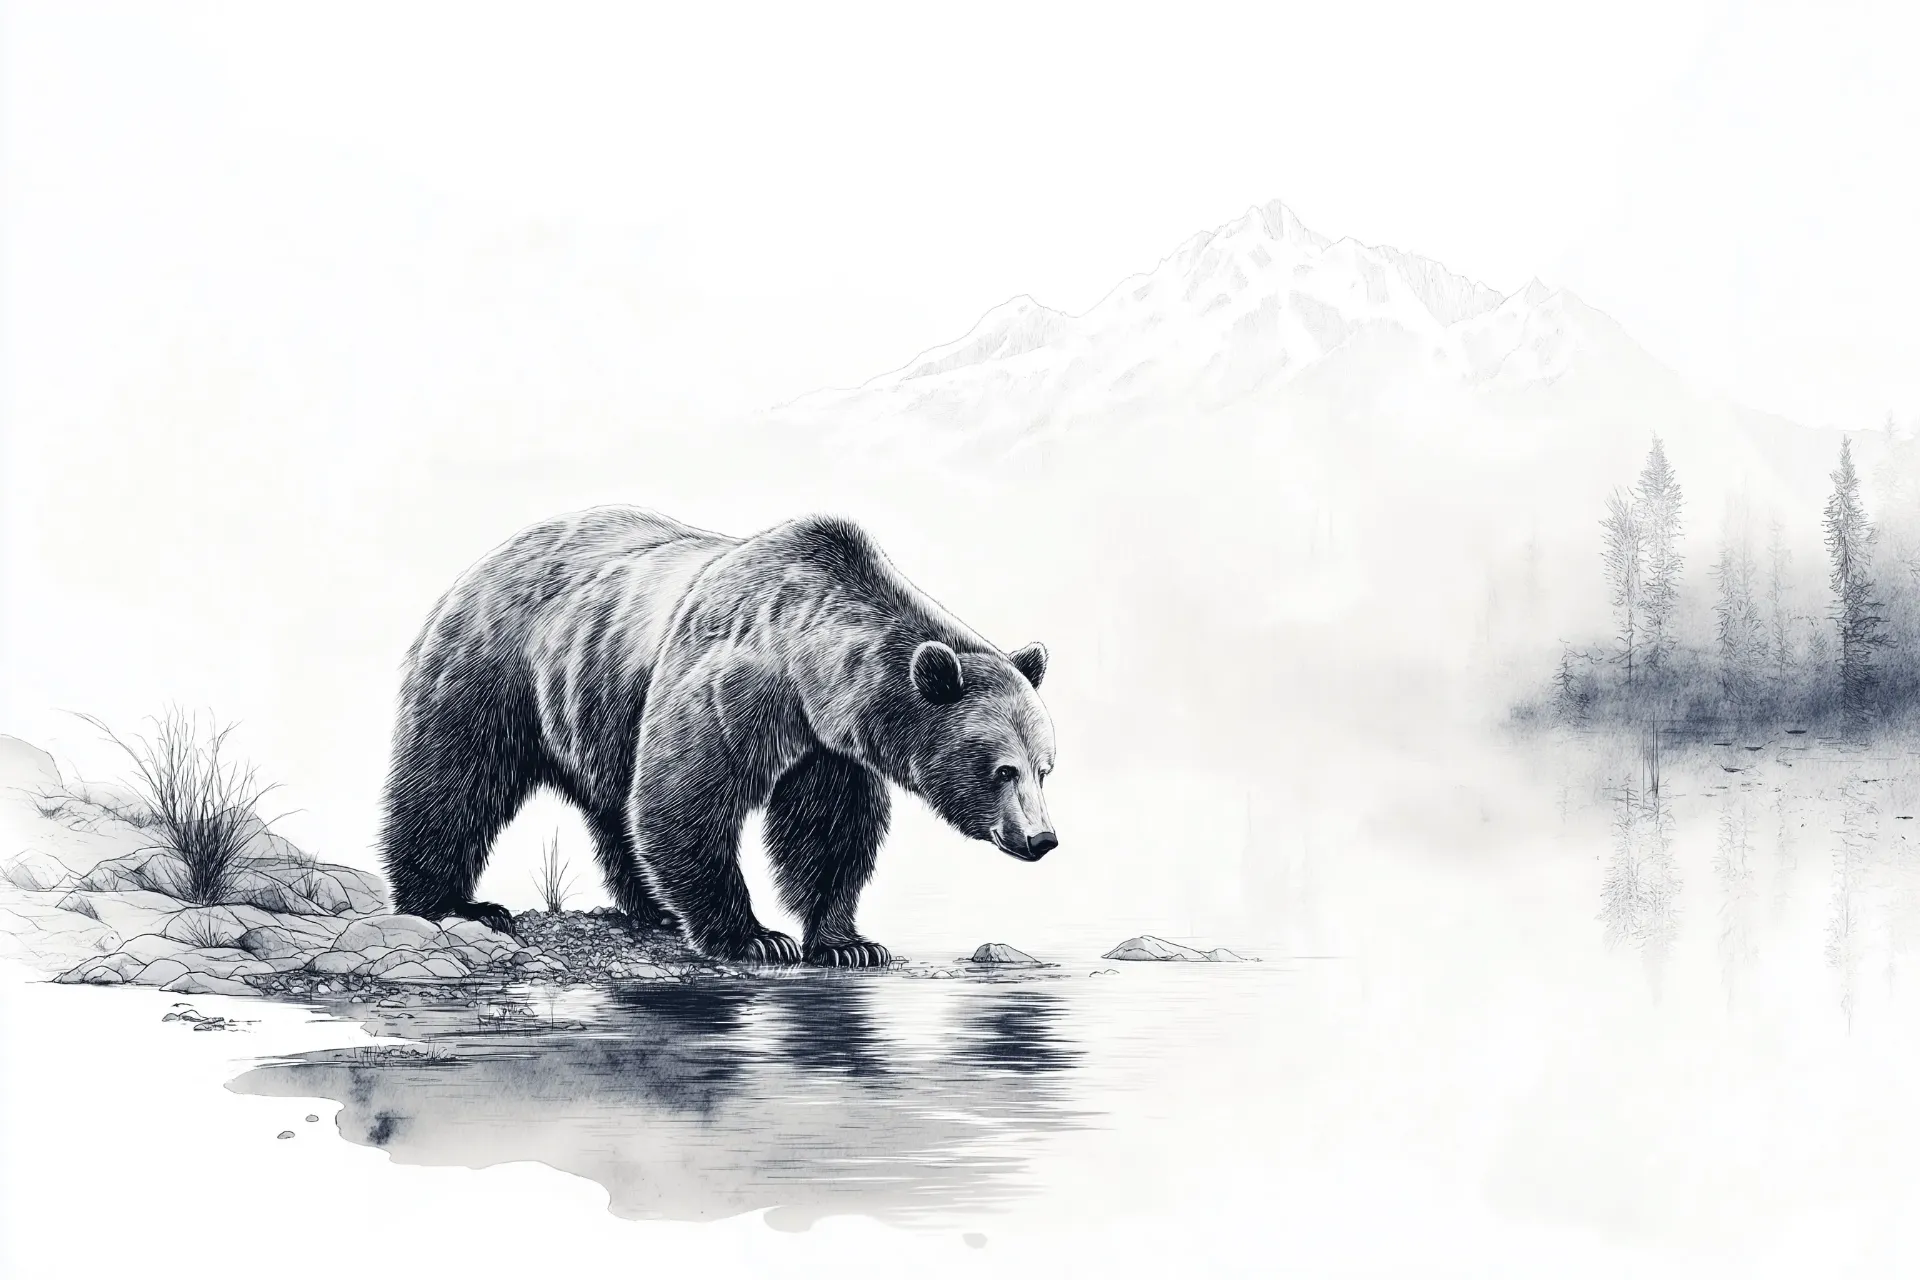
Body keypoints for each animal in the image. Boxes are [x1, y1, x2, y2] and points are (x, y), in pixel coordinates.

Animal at [376, 505, 1058, 967]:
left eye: (1044, 767)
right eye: (1003, 769)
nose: (1041, 838)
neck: (810, 665)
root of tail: (486, 559)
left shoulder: (828, 743)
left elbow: (831, 832)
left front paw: (847, 942)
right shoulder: (732, 678)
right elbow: (684, 798)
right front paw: (757, 936)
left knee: (614, 811)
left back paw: (651, 909)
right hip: (495, 671)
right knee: (454, 779)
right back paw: (454, 904)